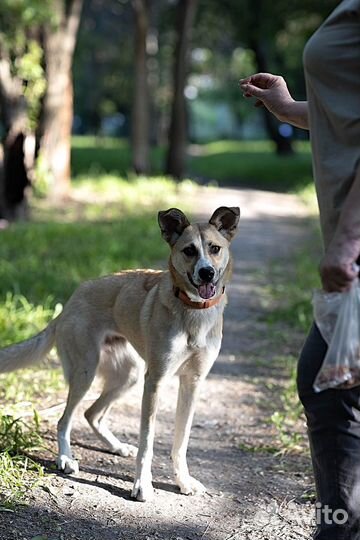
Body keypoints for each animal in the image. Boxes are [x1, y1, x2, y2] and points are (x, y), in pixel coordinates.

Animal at [0, 207, 239, 502]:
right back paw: (65, 458)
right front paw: (142, 485)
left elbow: (181, 442)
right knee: (64, 420)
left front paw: (183, 481)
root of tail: (69, 303)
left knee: (91, 413)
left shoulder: (192, 383)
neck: (193, 310)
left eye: (215, 248)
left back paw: (115, 446)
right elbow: (147, 443)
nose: (206, 273)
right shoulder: (155, 382)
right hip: (86, 372)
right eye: (189, 251)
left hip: (129, 375)